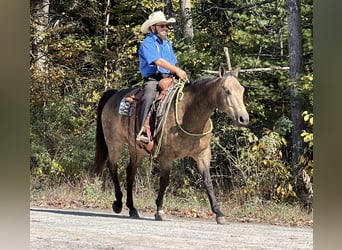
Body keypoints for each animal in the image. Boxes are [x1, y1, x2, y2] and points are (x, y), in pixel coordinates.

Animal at [92, 67, 250, 225]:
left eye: (242, 90)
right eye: (227, 90)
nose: (244, 118)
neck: (188, 113)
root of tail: (114, 95)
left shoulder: (203, 155)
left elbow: (208, 182)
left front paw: (219, 213)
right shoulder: (167, 156)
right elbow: (164, 181)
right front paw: (159, 210)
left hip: (136, 149)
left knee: (130, 172)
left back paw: (132, 208)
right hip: (114, 142)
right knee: (113, 166)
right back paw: (118, 203)